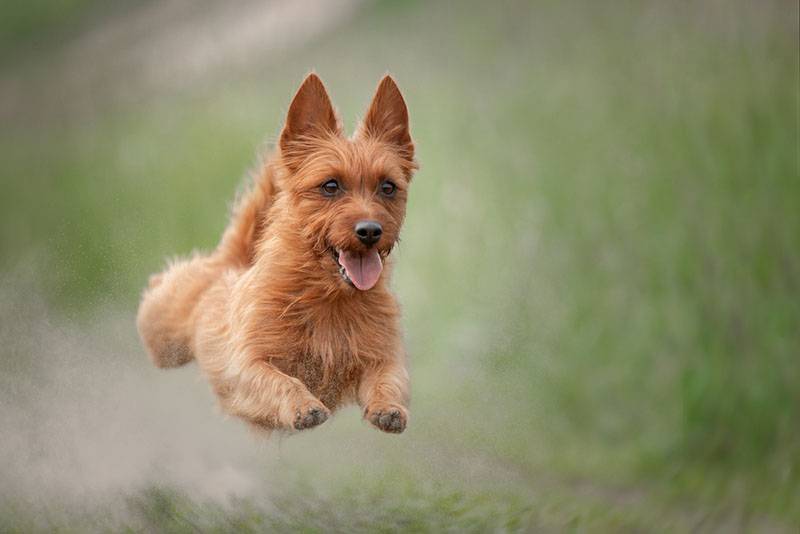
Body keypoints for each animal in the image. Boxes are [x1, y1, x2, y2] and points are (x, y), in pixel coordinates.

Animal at [137, 74, 418, 436]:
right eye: (330, 186)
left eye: (388, 187)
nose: (370, 231)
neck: (328, 300)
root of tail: (231, 261)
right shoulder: (245, 367)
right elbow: (280, 380)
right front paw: (303, 406)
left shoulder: (384, 355)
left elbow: (388, 378)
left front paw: (388, 408)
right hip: (164, 335)